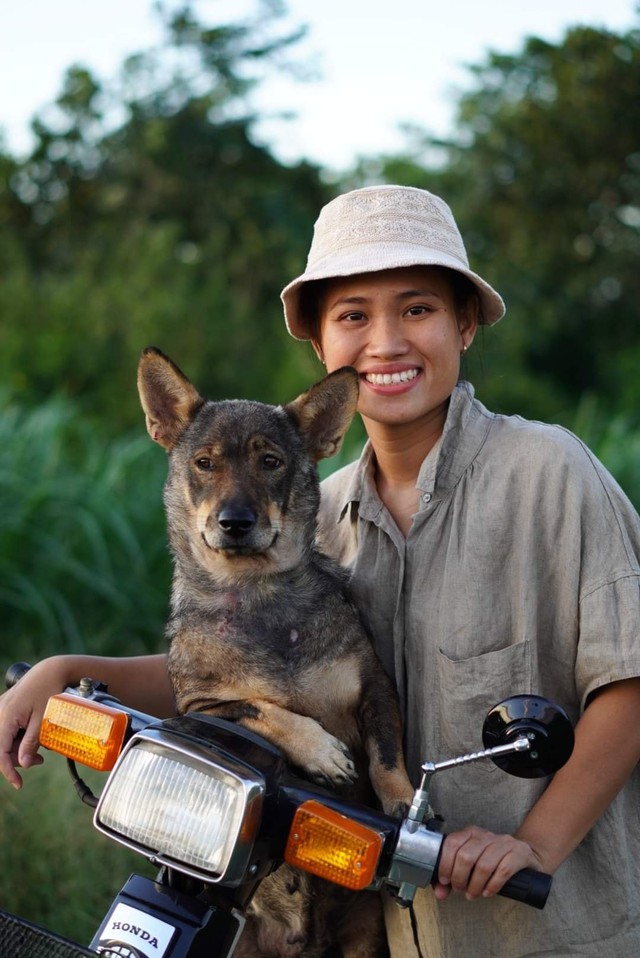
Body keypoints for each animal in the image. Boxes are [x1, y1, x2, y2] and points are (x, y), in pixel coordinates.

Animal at [138, 350, 412, 958]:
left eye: (270, 461)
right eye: (204, 464)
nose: (235, 522)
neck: (258, 595)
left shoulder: (375, 685)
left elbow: (387, 757)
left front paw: (406, 809)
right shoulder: (200, 708)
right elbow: (265, 708)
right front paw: (323, 752)